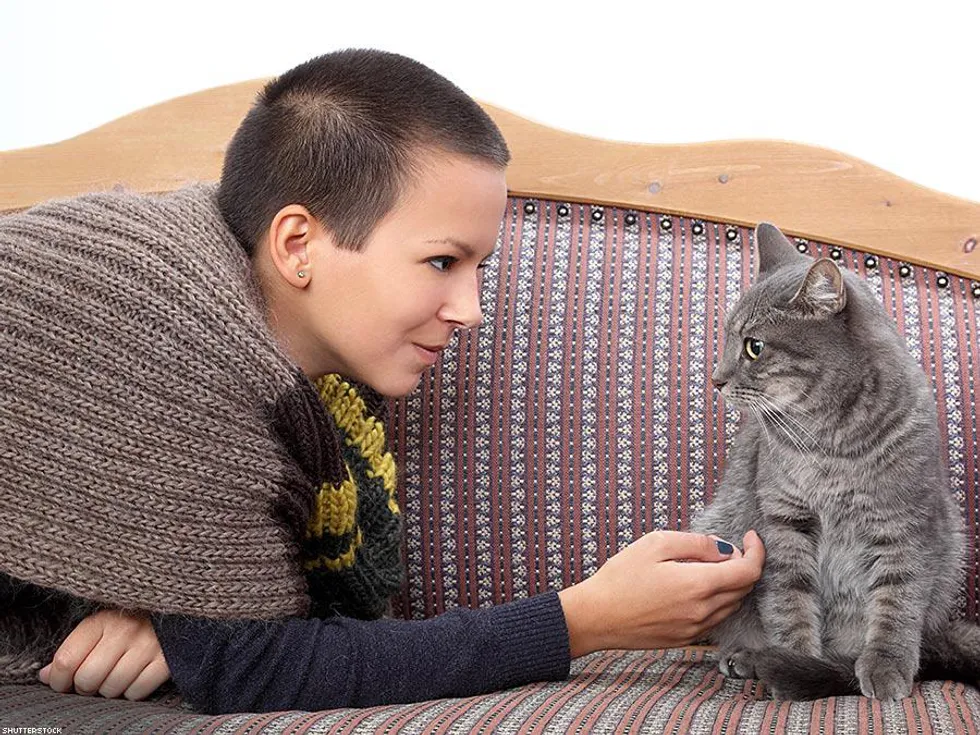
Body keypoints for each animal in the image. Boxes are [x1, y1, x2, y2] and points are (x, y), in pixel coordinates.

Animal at [688, 224, 980, 700]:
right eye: (729, 339)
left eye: (754, 347)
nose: (715, 379)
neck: (830, 444)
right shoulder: (786, 521)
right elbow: (789, 601)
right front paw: (794, 659)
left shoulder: (901, 523)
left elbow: (896, 603)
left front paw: (882, 666)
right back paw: (745, 656)